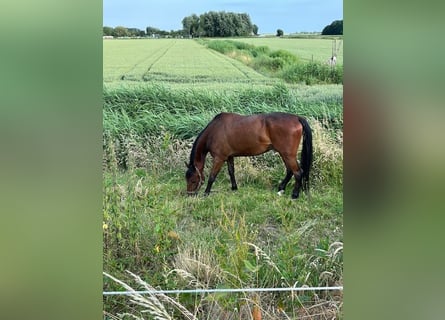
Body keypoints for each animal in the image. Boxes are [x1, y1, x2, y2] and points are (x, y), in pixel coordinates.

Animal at [184, 111, 312, 199]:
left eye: (193, 180)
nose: (189, 194)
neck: (214, 130)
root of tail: (297, 117)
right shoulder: (229, 156)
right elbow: (231, 172)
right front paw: (234, 188)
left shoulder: (219, 158)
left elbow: (212, 176)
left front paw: (206, 193)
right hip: (284, 154)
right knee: (290, 171)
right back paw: (281, 188)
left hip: (288, 154)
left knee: (298, 172)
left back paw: (295, 194)